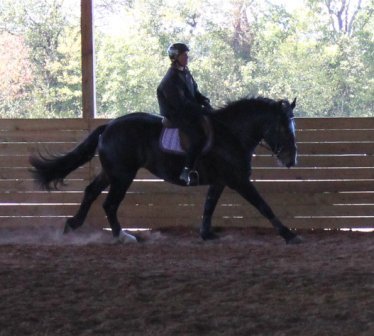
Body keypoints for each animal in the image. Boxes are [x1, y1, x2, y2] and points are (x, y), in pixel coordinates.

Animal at [28, 96, 300, 244]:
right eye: (283, 127)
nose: (291, 160)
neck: (231, 133)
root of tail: (109, 126)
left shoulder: (220, 181)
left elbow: (209, 207)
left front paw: (206, 234)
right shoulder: (239, 180)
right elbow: (264, 206)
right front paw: (289, 235)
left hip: (111, 172)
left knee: (91, 192)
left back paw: (72, 225)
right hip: (123, 175)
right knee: (109, 204)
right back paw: (121, 236)